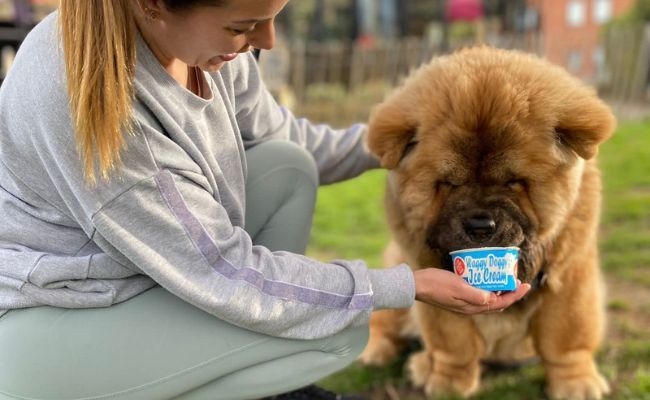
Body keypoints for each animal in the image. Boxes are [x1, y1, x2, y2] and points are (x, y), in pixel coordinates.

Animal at [356, 47, 616, 400]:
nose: (480, 225)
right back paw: (384, 354)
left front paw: (576, 383)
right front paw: (449, 383)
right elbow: (454, 343)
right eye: (449, 183)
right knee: (385, 323)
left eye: (513, 182)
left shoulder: (569, 277)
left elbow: (565, 339)